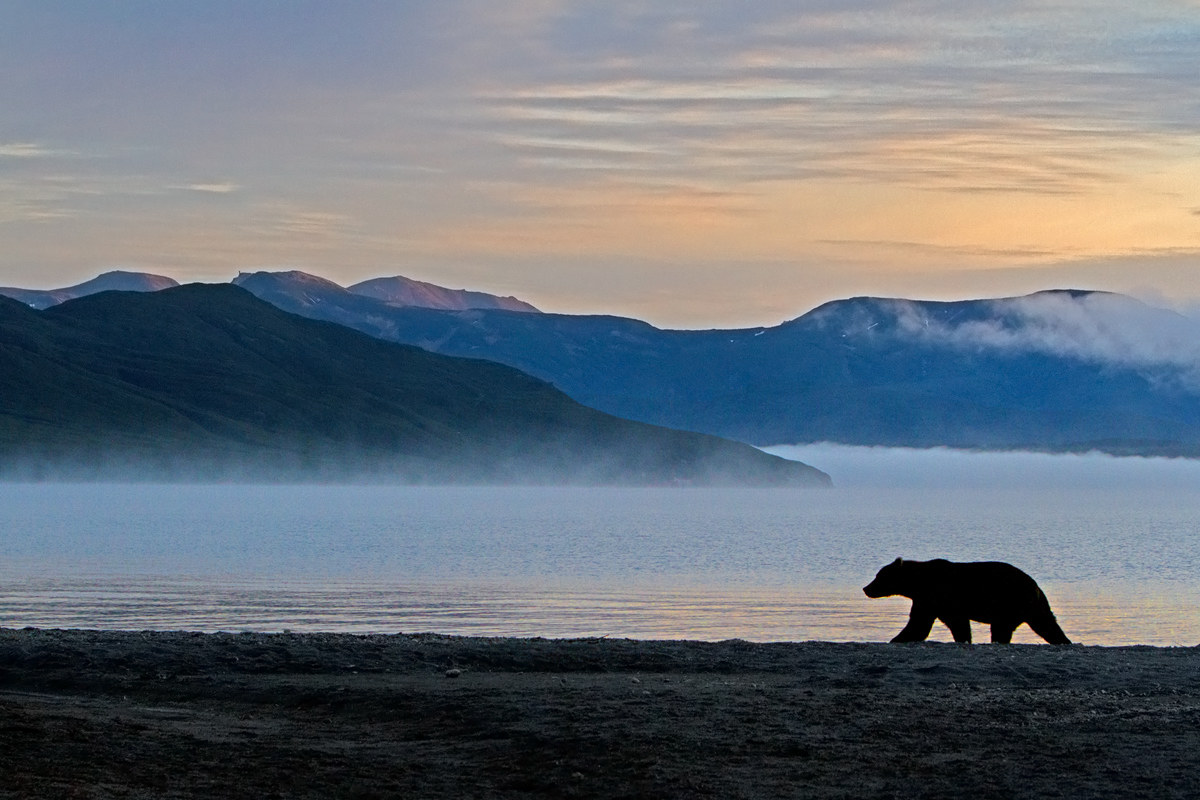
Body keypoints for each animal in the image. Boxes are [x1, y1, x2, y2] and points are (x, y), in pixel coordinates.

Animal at [863, 557, 1071, 644]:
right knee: (1047, 624)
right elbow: (921, 623)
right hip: (1032, 606)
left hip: (1009, 601)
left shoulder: (940, 595)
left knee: (1002, 628)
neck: (918, 582)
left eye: (878, 576)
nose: (866, 588)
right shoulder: (928, 601)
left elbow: (927, 624)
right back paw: (1064, 641)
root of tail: (1036, 586)